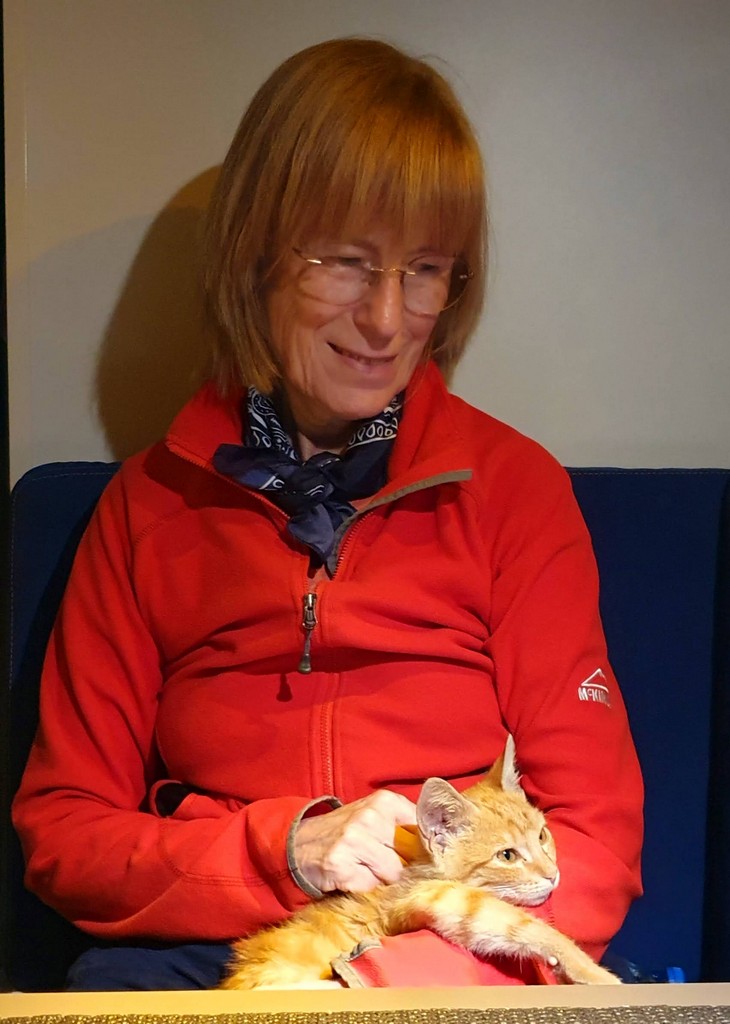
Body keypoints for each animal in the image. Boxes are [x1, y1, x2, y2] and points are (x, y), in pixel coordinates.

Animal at [220, 737, 619, 989]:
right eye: (507, 856)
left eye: (541, 836)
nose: (554, 876)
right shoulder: (435, 897)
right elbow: (524, 926)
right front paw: (594, 973)